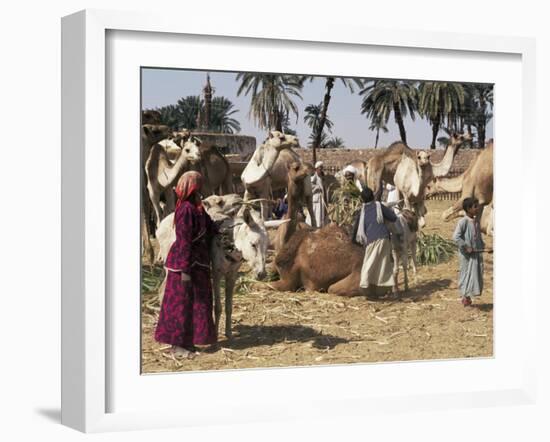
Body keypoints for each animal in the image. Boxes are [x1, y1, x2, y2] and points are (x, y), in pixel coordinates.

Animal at [155, 193, 270, 338]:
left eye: (267, 246)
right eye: (253, 244)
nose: (262, 274)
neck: (231, 242)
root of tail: (160, 227)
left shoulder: (232, 275)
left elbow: (229, 306)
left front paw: (228, 333)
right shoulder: (216, 273)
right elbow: (218, 306)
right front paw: (215, 334)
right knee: (162, 290)